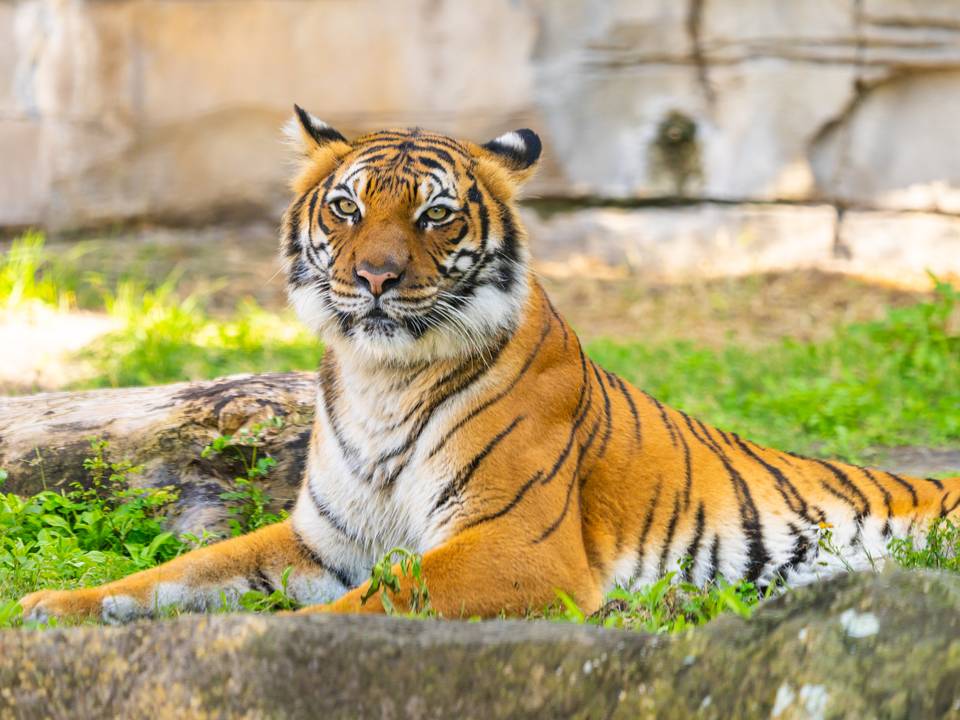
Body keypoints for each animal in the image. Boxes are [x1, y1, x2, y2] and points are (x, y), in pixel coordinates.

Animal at [19, 106, 960, 624]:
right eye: (347, 207)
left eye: (434, 215)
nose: (375, 278)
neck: (382, 379)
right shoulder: (321, 539)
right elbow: (177, 572)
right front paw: (49, 610)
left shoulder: (515, 545)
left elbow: (382, 601)